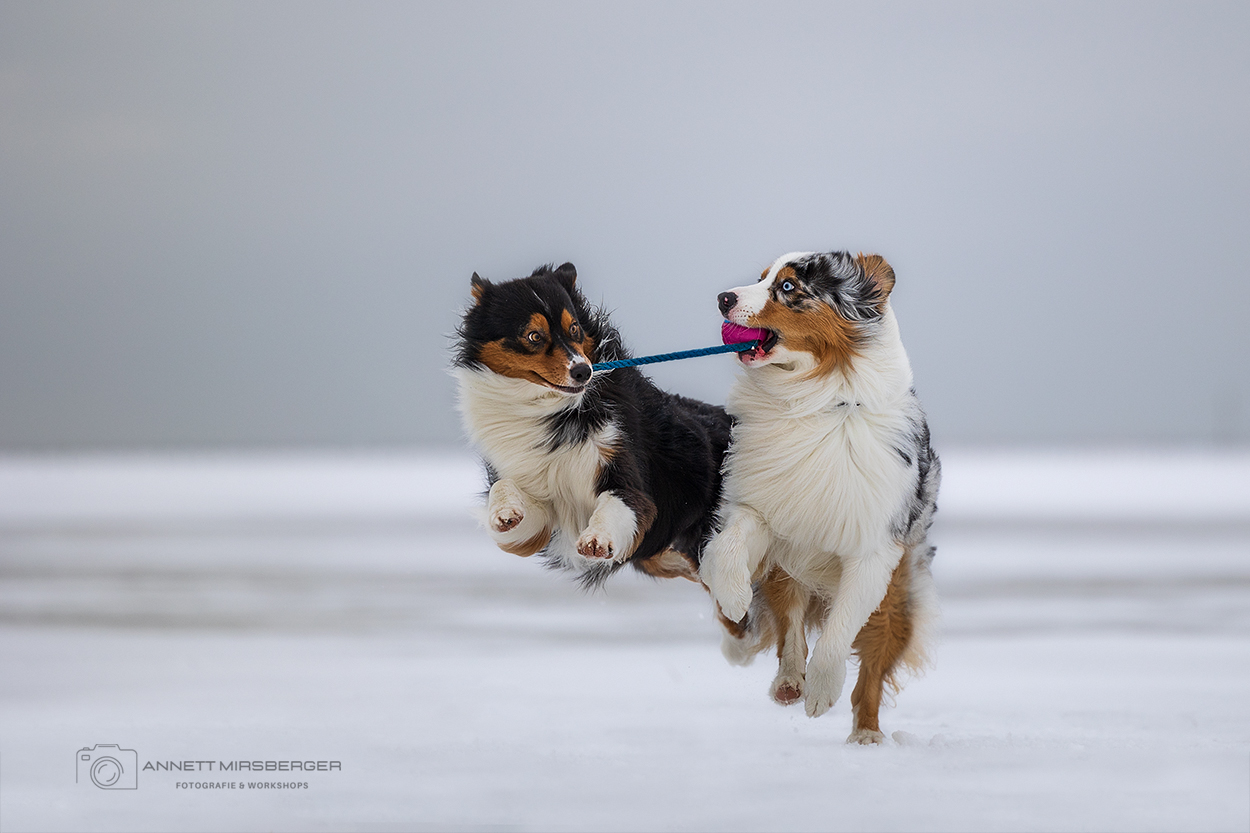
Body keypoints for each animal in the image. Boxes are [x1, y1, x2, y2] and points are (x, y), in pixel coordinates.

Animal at [700, 250, 940, 740]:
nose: (722, 298)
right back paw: (789, 682)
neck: (817, 399)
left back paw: (865, 734)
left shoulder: (873, 551)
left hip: (900, 593)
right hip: (788, 567)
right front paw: (733, 596)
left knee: (873, 661)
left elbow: (840, 629)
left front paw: (824, 690)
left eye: (789, 287)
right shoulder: (766, 508)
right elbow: (729, 548)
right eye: (761, 278)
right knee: (790, 629)